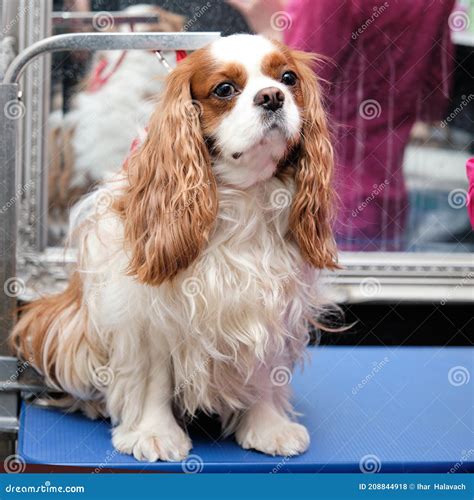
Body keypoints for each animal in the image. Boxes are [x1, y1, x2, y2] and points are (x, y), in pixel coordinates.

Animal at [10, 34, 336, 460]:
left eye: (288, 78)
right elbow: (154, 378)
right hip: (61, 325)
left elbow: (263, 369)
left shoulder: (269, 302)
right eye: (224, 89)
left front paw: (268, 427)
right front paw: (154, 433)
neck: (243, 196)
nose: (272, 97)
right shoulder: (145, 313)